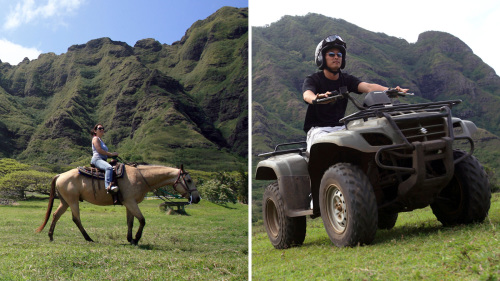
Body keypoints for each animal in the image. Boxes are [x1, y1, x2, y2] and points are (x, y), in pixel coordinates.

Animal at [35, 163, 199, 244]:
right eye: (189, 180)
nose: (197, 198)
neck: (140, 177)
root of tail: (60, 175)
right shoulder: (131, 202)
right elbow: (142, 220)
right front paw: (136, 239)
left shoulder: (129, 203)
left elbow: (130, 222)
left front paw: (130, 239)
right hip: (73, 201)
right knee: (76, 219)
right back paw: (88, 238)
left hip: (65, 202)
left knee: (55, 215)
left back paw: (51, 236)